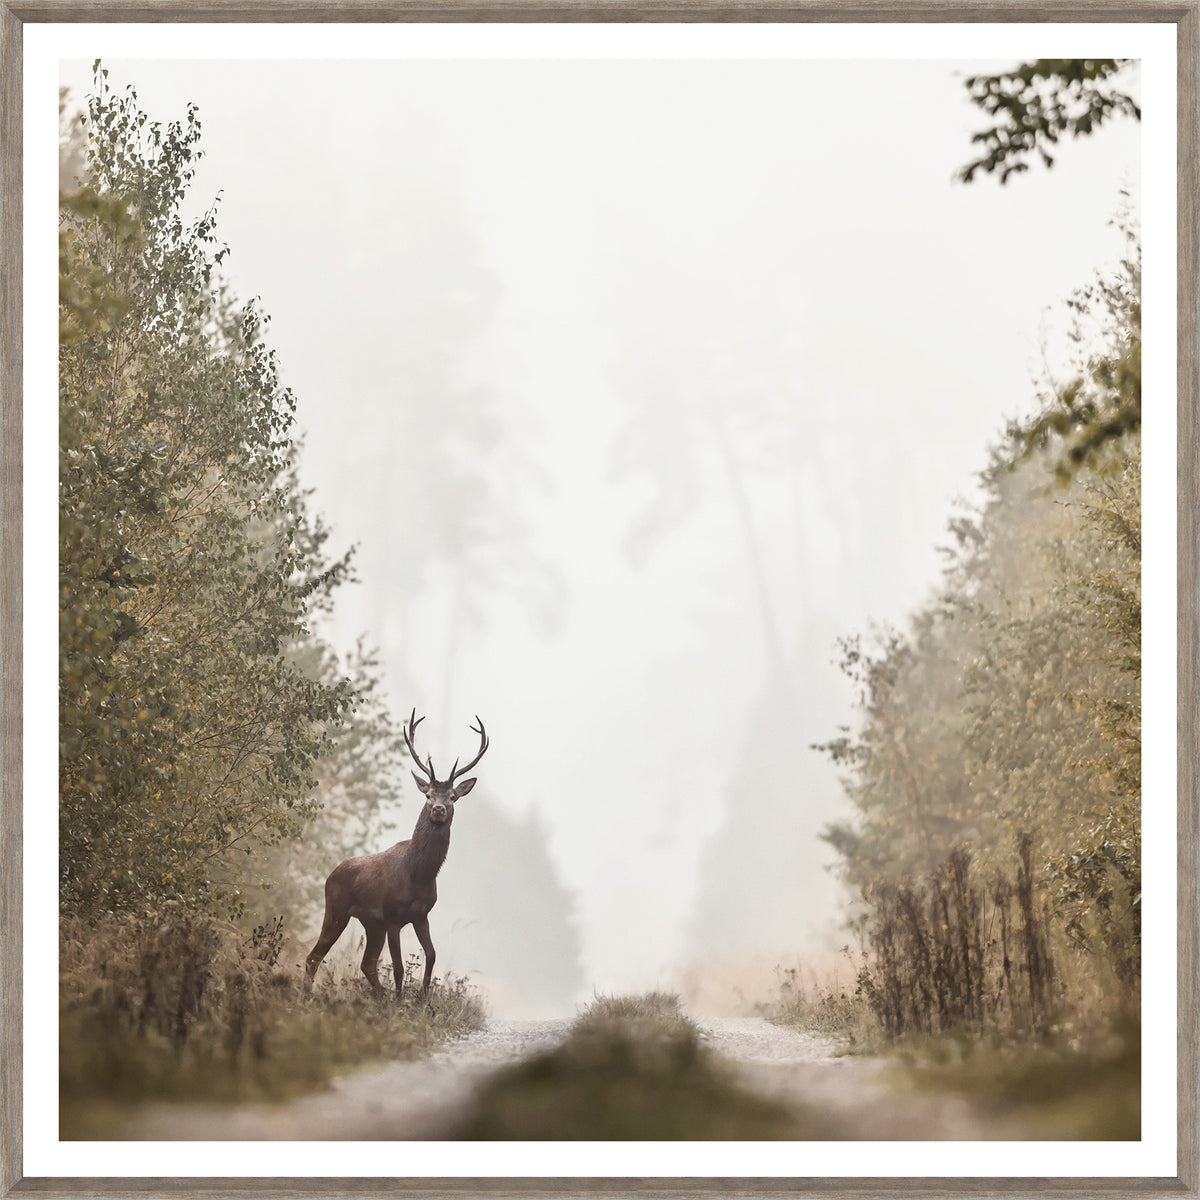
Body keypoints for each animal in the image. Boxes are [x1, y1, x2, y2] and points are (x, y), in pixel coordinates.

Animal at [304, 710, 488, 998]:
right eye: (428, 794)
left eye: (453, 797)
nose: (438, 809)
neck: (419, 875)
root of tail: (330, 874)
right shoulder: (392, 916)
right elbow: (399, 967)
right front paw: (401, 1000)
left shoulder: (421, 915)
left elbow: (431, 956)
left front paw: (423, 999)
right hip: (336, 908)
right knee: (315, 956)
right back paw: (308, 995)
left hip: (371, 923)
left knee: (366, 963)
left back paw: (379, 996)